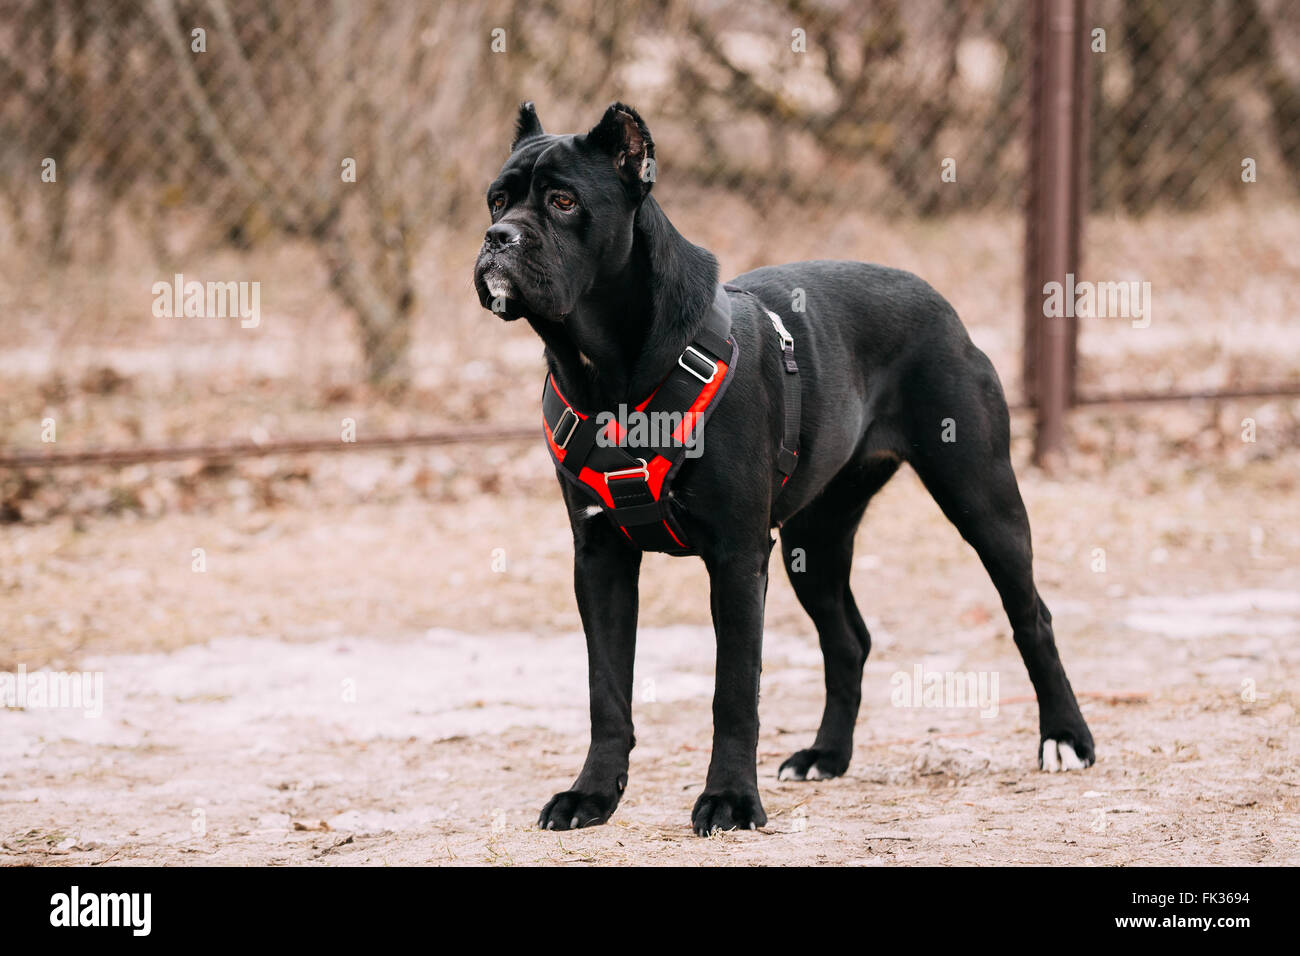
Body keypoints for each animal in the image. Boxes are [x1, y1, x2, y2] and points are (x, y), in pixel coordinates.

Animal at [473, 102, 1092, 837]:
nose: (497, 237)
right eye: (497, 200)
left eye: (563, 202)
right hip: (813, 540)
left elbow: (734, 690)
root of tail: (939, 301)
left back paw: (1065, 738)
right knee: (848, 640)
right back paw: (827, 755)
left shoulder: (738, 556)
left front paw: (730, 800)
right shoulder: (600, 558)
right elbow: (607, 691)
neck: (605, 371)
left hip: (982, 498)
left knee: (1033, 616)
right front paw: (592, 795)